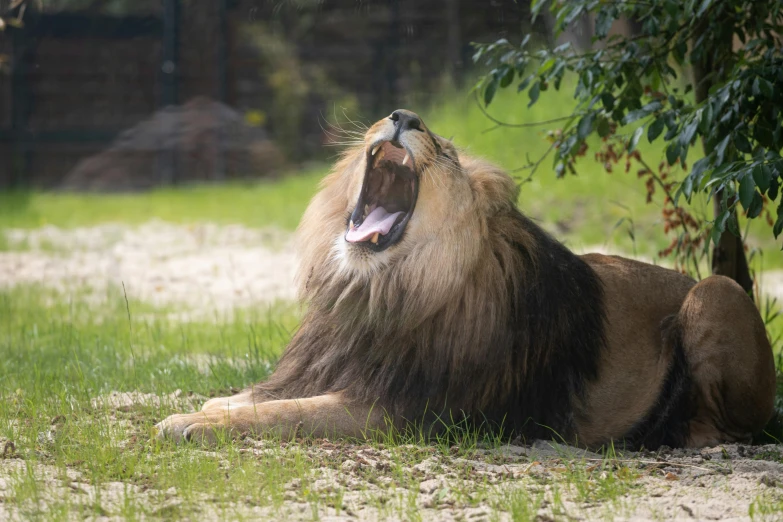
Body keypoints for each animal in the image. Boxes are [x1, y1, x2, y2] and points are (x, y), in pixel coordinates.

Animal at [158, 108, 776, 446]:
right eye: (394, 117)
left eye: (446, 151)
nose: (404, 117)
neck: (381, 291)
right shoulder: (334, 361)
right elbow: (261, 396)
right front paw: (214, 407)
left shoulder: (401, 410)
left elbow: (290, 413)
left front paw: (189, 423)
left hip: (716, 292)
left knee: (734, 428)